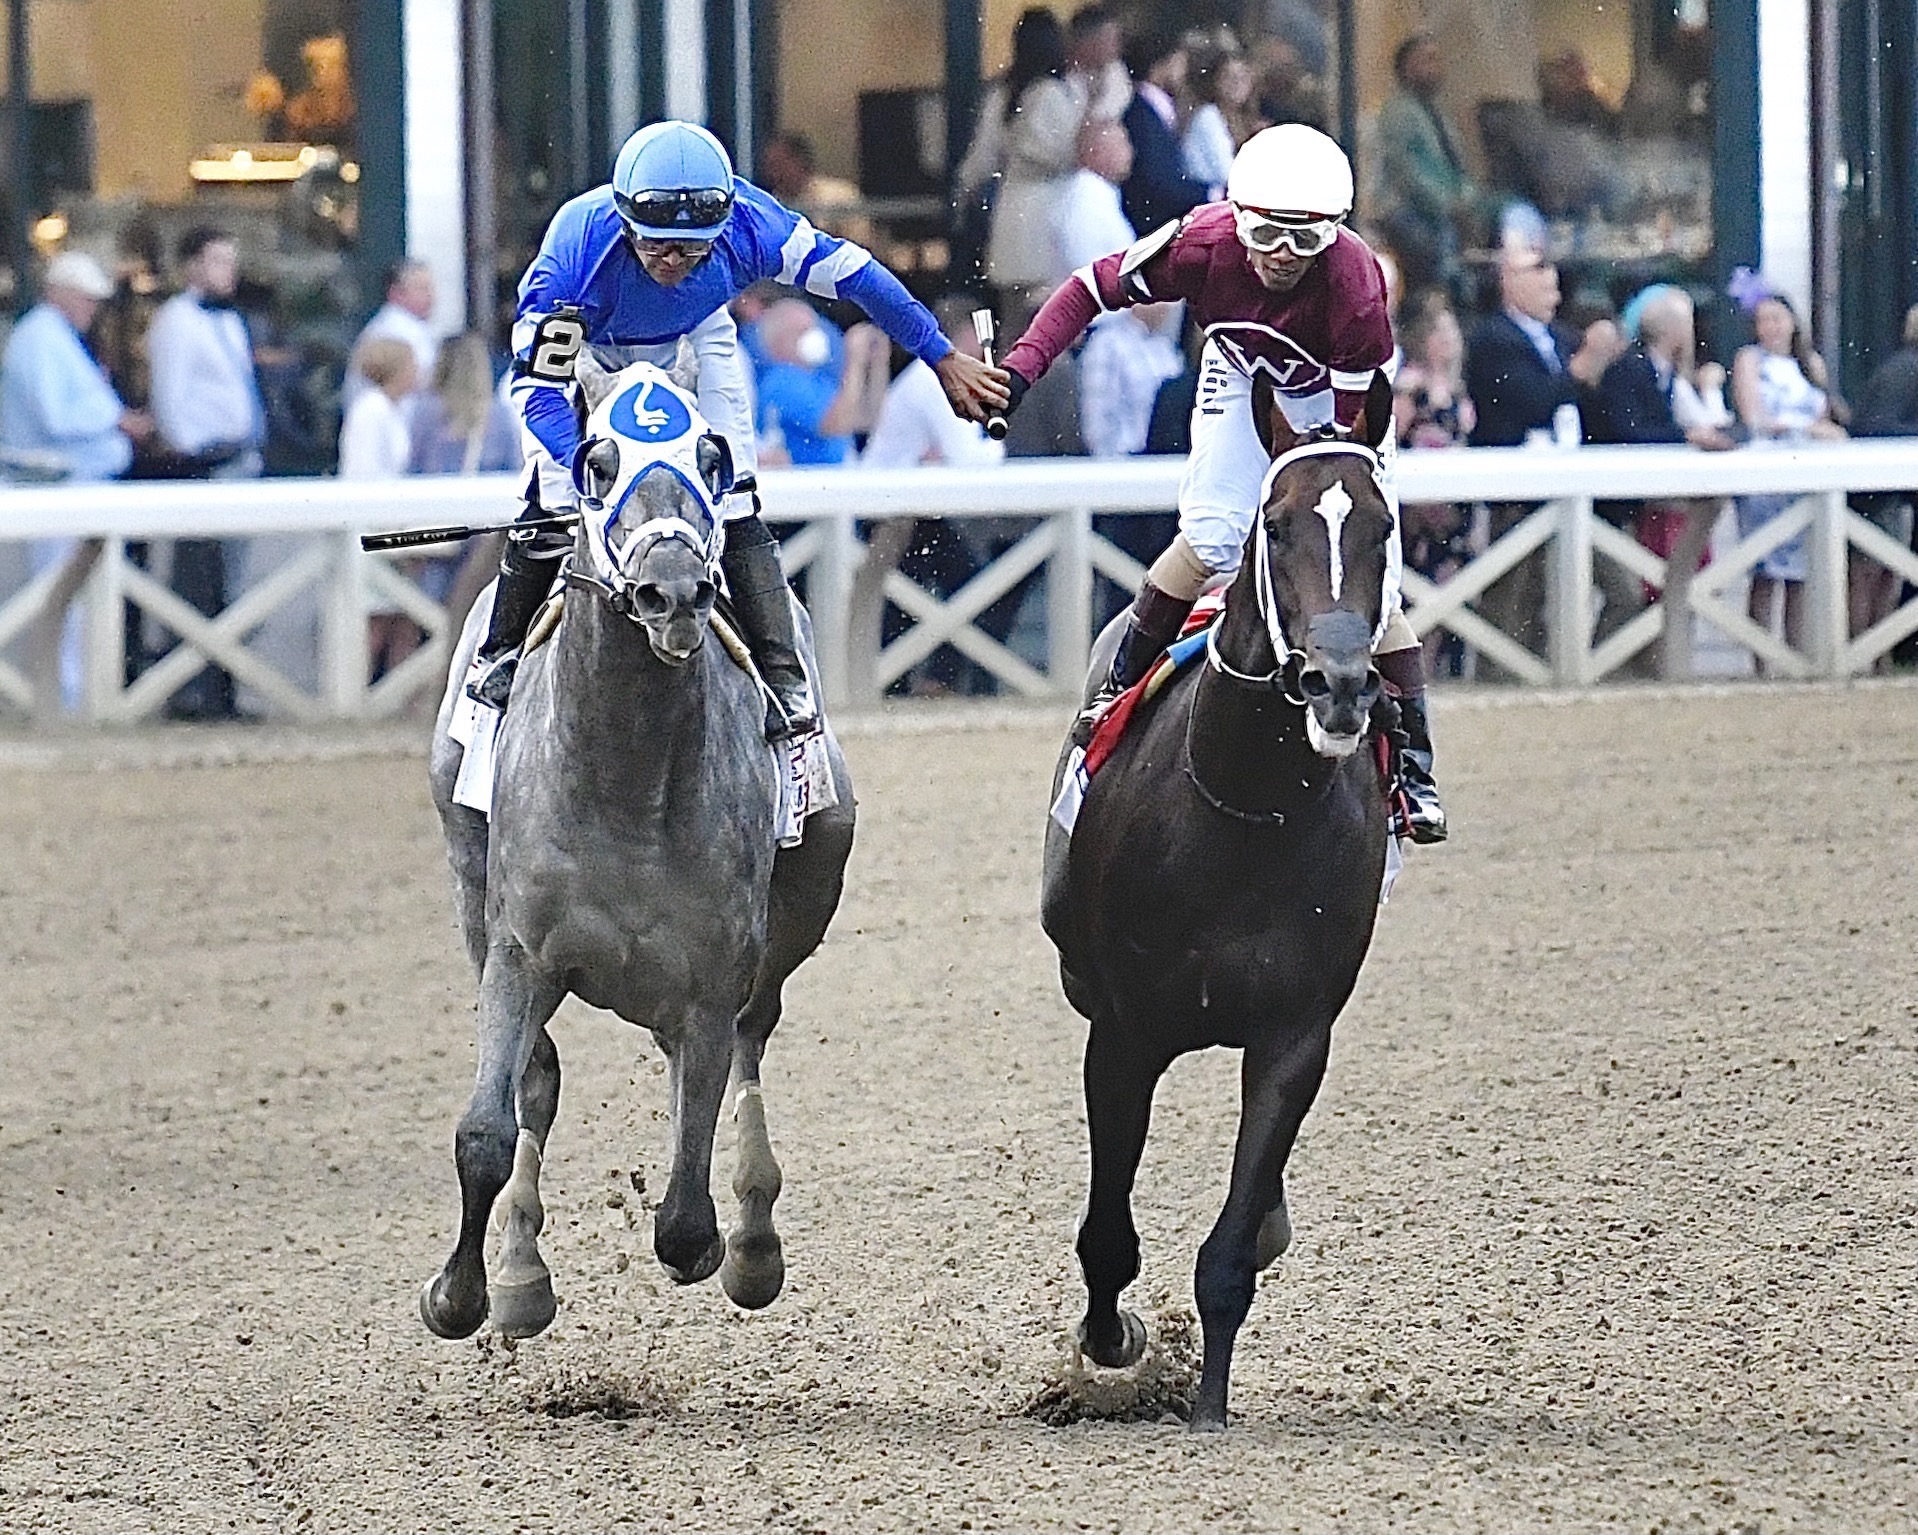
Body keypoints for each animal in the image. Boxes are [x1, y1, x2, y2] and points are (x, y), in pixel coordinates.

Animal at [420, 366, 855, 1335]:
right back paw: (520, 1270)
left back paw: (755, 1240)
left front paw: (729, 1242)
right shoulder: (518, 947)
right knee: (539, 1081)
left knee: (748, 1046)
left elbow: (687, 1213)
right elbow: (485, 1131)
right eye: (598, 461)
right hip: (469, 893)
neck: (626, 774)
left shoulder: (714, 974)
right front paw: (463, 1291)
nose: (674, 591)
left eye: (712, 455)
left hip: (805, 897)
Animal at [1051, 372, 1396, 1427]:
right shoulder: (1123, 1033)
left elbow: (1232, 1246)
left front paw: (1207, 1405)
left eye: (1385, 526)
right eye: (1276, 525)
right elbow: (1107, 1232)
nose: (1338, 684)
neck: (1245, 808)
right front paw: (1114, 1340)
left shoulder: (1293, 1036)